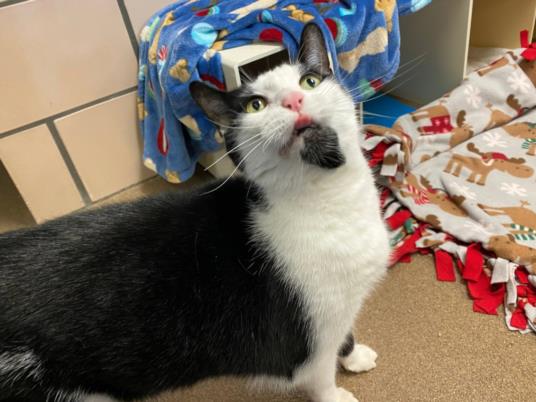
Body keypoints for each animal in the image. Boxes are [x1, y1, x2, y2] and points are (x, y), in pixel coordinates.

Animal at [0, 23, 388, 400]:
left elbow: (345, 334)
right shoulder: (310, 336)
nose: (294, 100)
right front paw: (337, 394)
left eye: (310, 81)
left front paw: (354, 355)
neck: (329, 194)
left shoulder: (342, 309)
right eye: (255, 105)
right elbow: (320, 376)